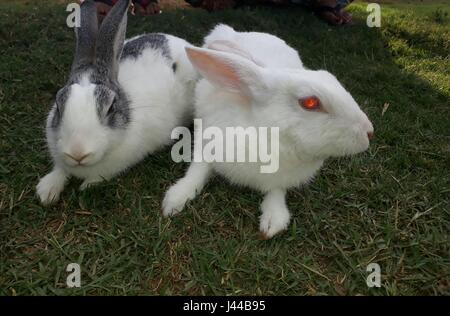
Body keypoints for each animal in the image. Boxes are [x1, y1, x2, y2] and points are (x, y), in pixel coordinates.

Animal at [35, 0, 197, 205]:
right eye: (58, 105)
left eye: (110, 107)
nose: (77, 153)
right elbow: (60, 169)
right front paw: (46, 191)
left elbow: (99, 176)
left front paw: (87, 186)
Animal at [162, 24, 372, 237]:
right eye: (310, 103)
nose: (369, 132)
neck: (265, 133)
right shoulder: (206, 145)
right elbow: (196, 172)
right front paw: (174, 201)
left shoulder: (280, 178)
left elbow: (276, 192)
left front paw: (273, 222)